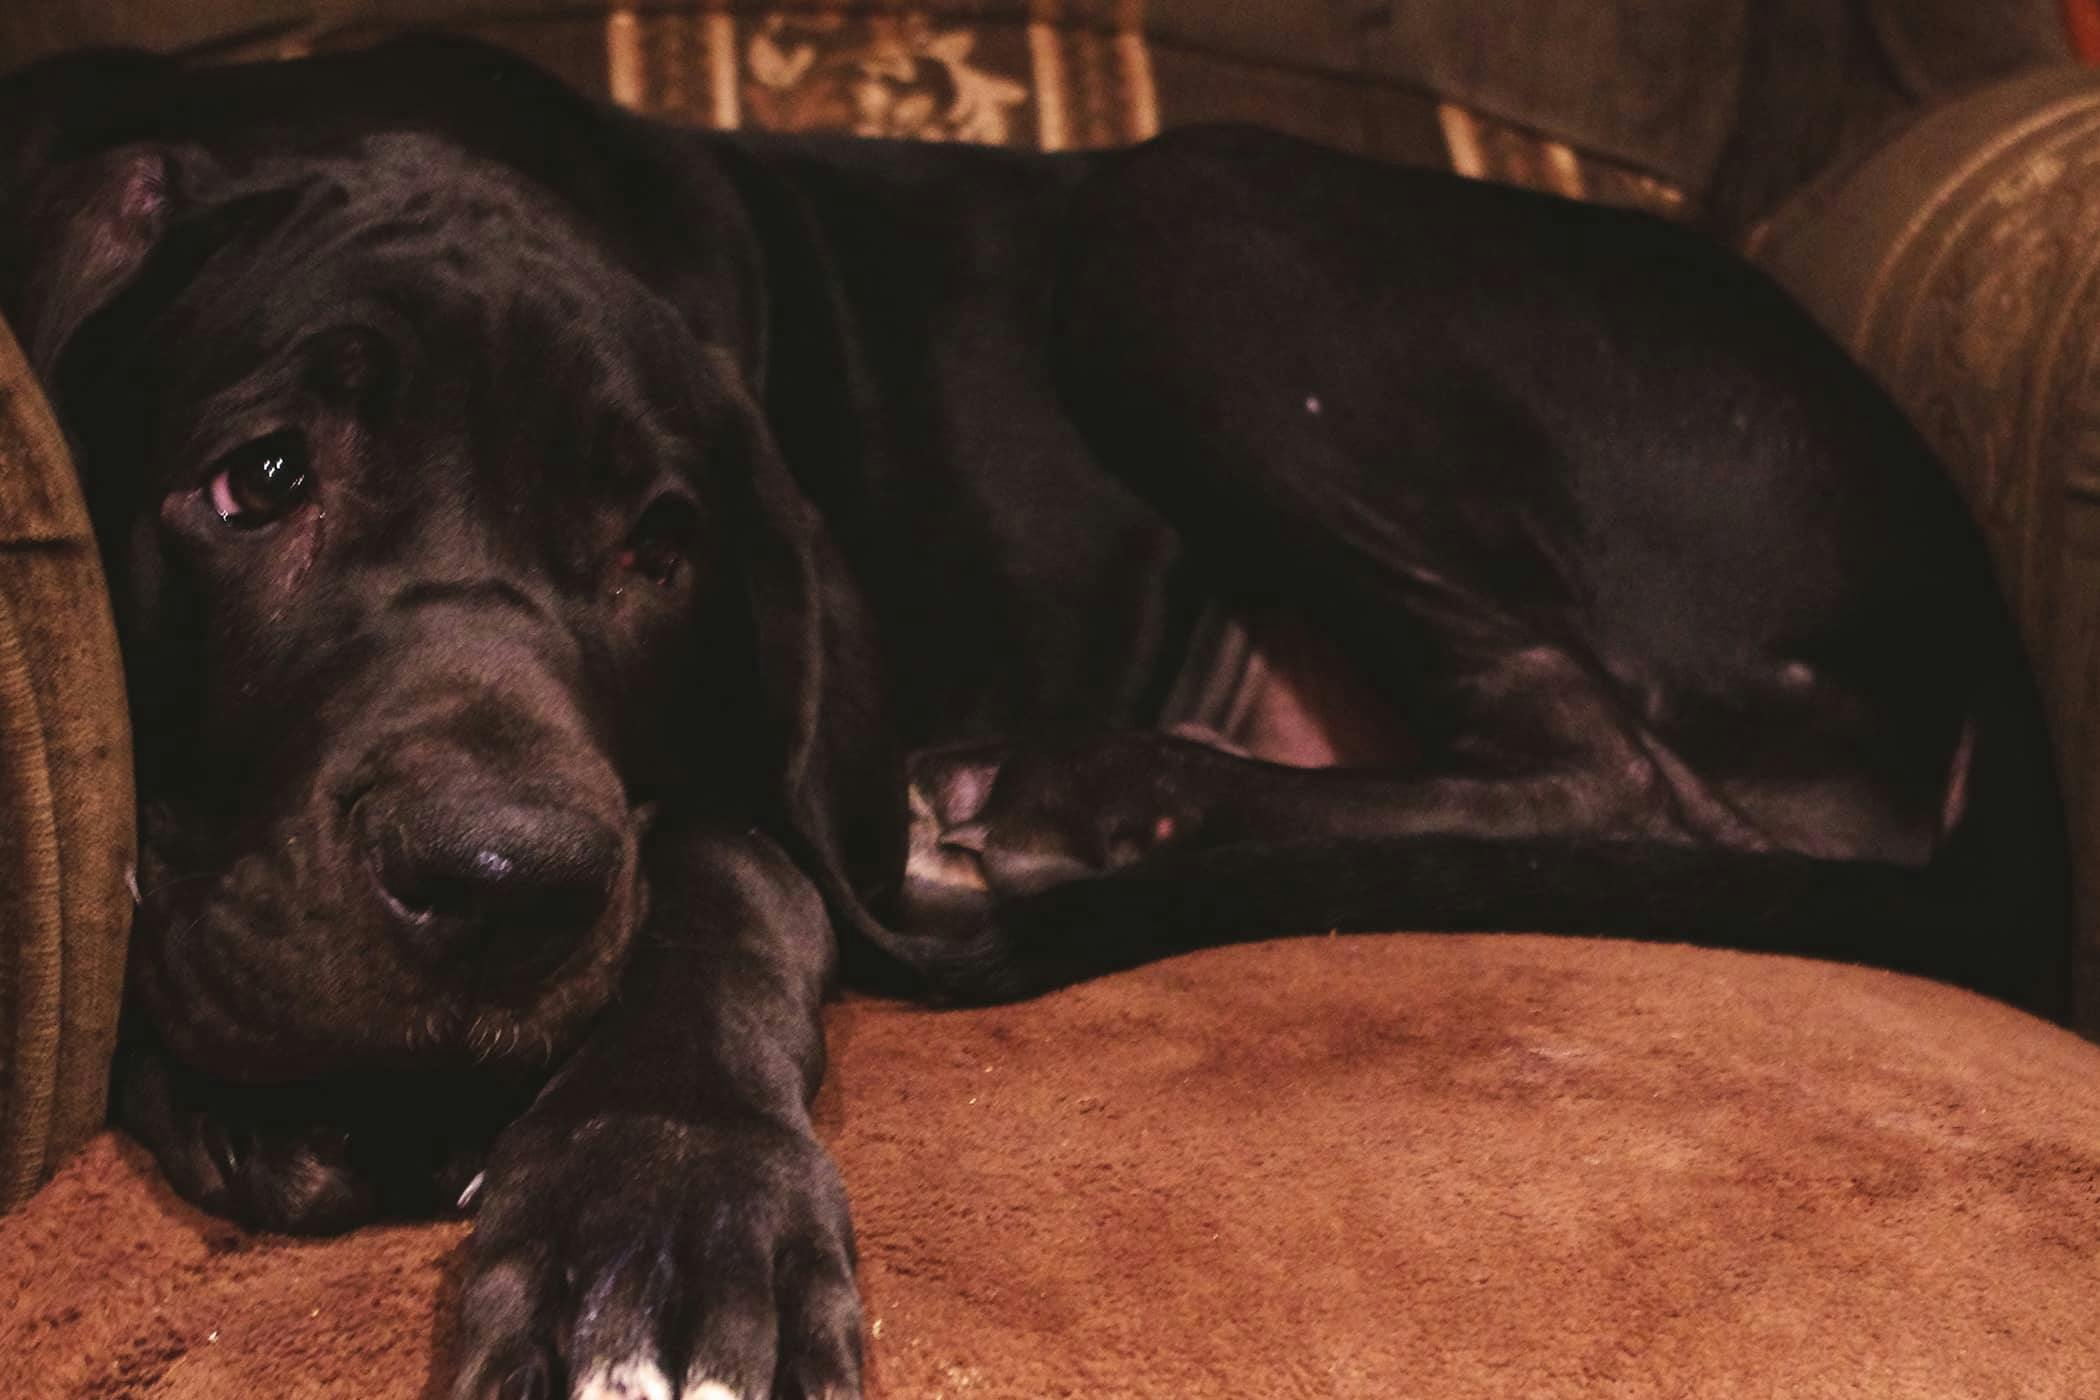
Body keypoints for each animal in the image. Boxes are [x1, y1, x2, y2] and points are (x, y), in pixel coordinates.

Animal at [0, 38, 2066, 1400]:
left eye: (655, 549)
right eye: (258, 479)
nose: (505, 886)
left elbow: (731, 874)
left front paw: (657, 1211)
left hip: (1184, 201)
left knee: (1619, 758)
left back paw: (1064, 797)